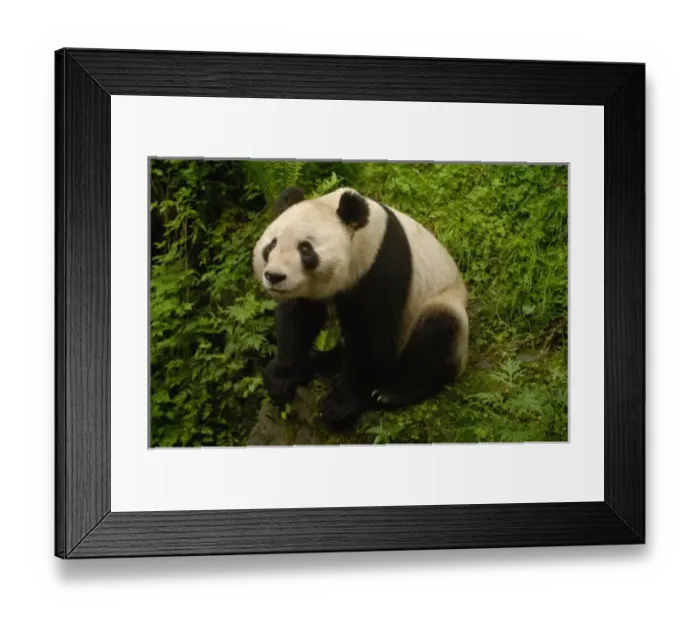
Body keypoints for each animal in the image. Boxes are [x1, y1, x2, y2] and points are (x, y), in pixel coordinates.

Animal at [252, 186, 469, 432]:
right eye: (271, 245)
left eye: (305, 249)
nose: (275, 276)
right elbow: (297, 320)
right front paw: (281, 377)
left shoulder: (379, 266)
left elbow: (370, 334)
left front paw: (340, 406)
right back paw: (318, 363)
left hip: (442, 306)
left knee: (437, 332)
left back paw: (392, 394)